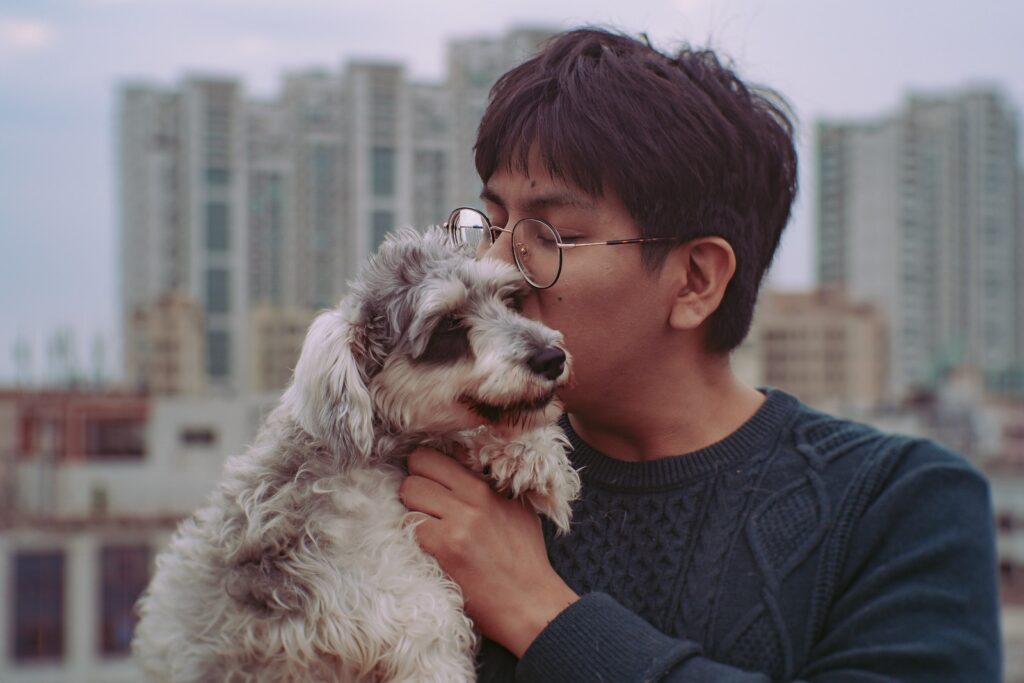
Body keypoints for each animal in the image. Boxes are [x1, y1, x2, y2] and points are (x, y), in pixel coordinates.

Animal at [134, 227, 585, 679]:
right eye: (448, 325)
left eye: (509, 300)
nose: (551, 357)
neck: (385, 455)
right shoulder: (321, 575)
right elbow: (424, 611)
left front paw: (529, 455)